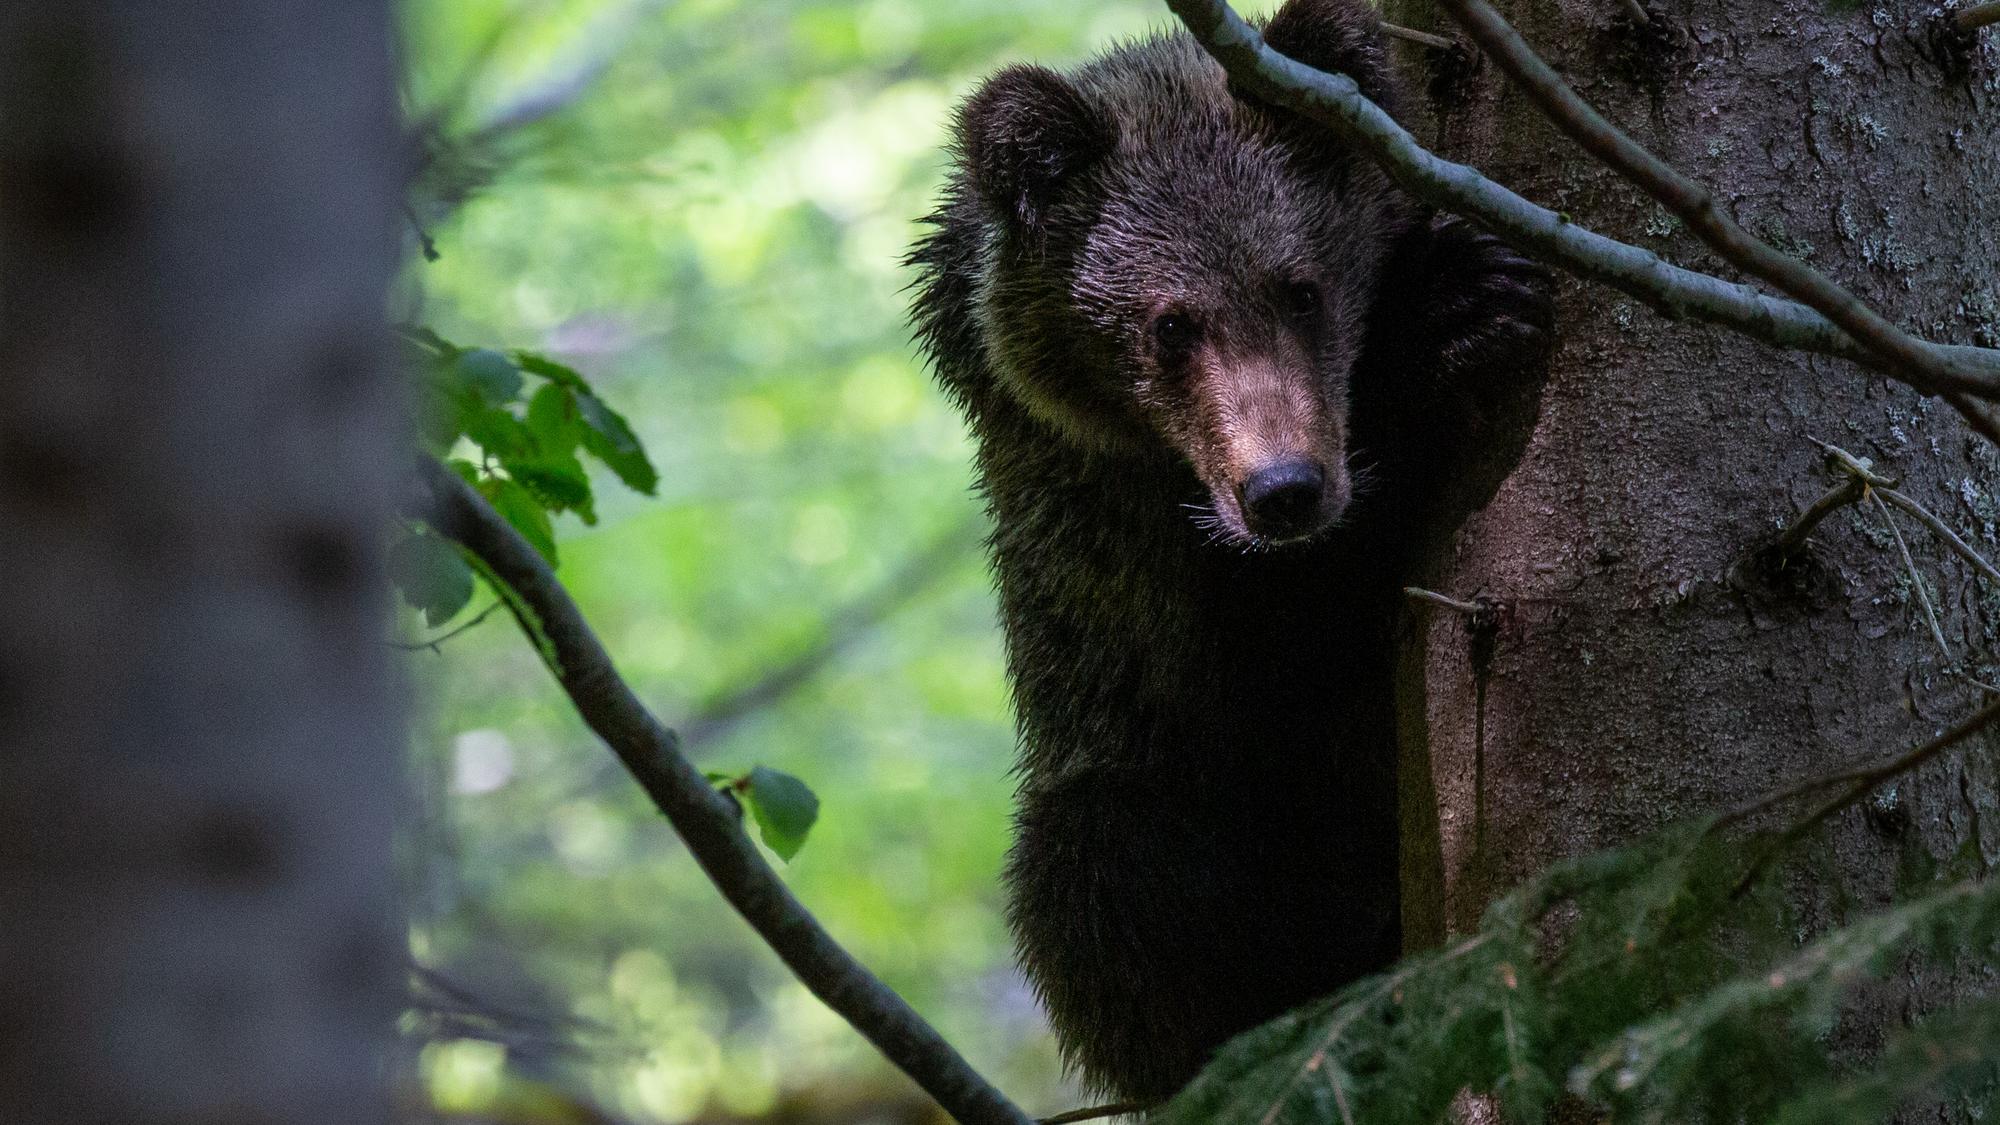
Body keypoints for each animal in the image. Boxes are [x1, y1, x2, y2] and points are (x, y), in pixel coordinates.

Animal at [916, 0, 1552, 1104]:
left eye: (1299, 288)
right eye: (1169, 324)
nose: (1284, 489)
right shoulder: (1123, 543)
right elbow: (1278, 654)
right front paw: (1450, 312)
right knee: (1101, 874)